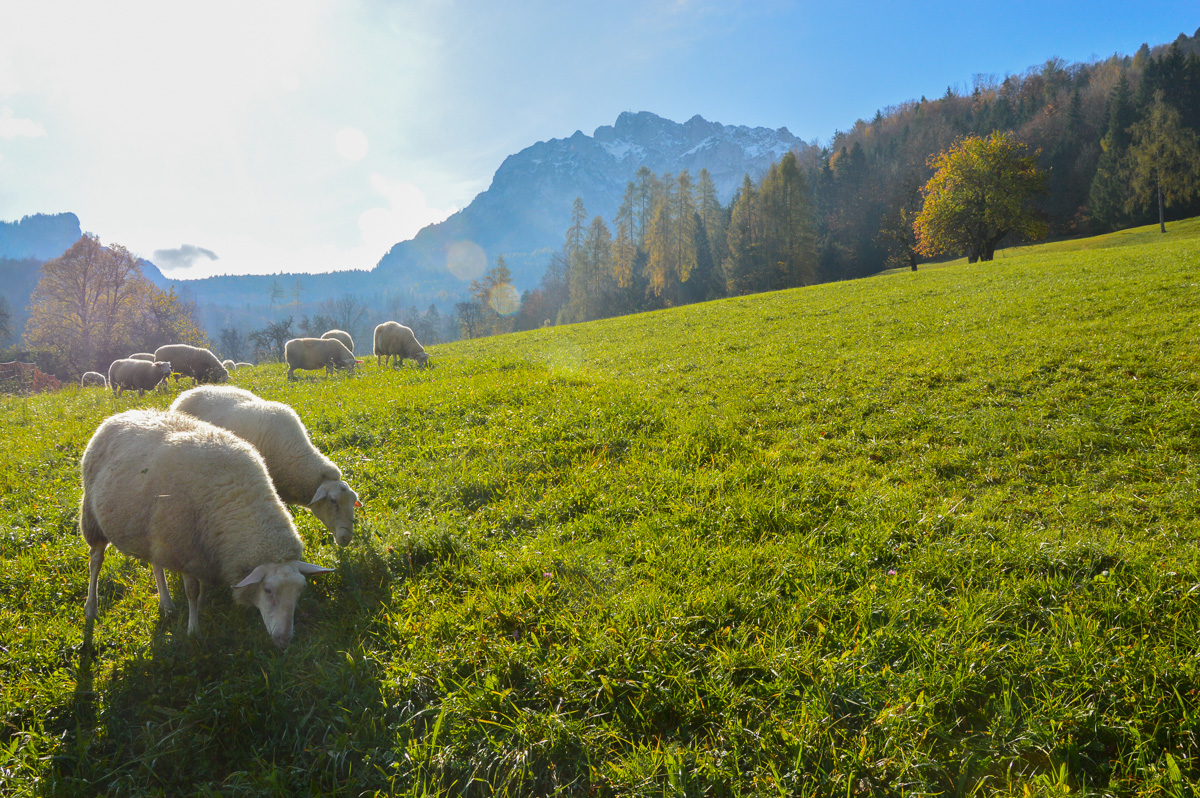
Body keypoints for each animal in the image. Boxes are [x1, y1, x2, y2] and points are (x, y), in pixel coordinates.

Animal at [83, 410, 333, 648]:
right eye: (268, 590)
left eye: (300, 590)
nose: (284, 641)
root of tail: (118, 416)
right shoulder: (184, 548)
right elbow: (192, 591)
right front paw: (193, 630)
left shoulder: (203, 547)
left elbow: (201, 586)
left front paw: (202, 605)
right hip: (92, 518)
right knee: (95, 560)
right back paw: (91, 607)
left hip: (154, 527)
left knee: (156, 564)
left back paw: (166, 603)